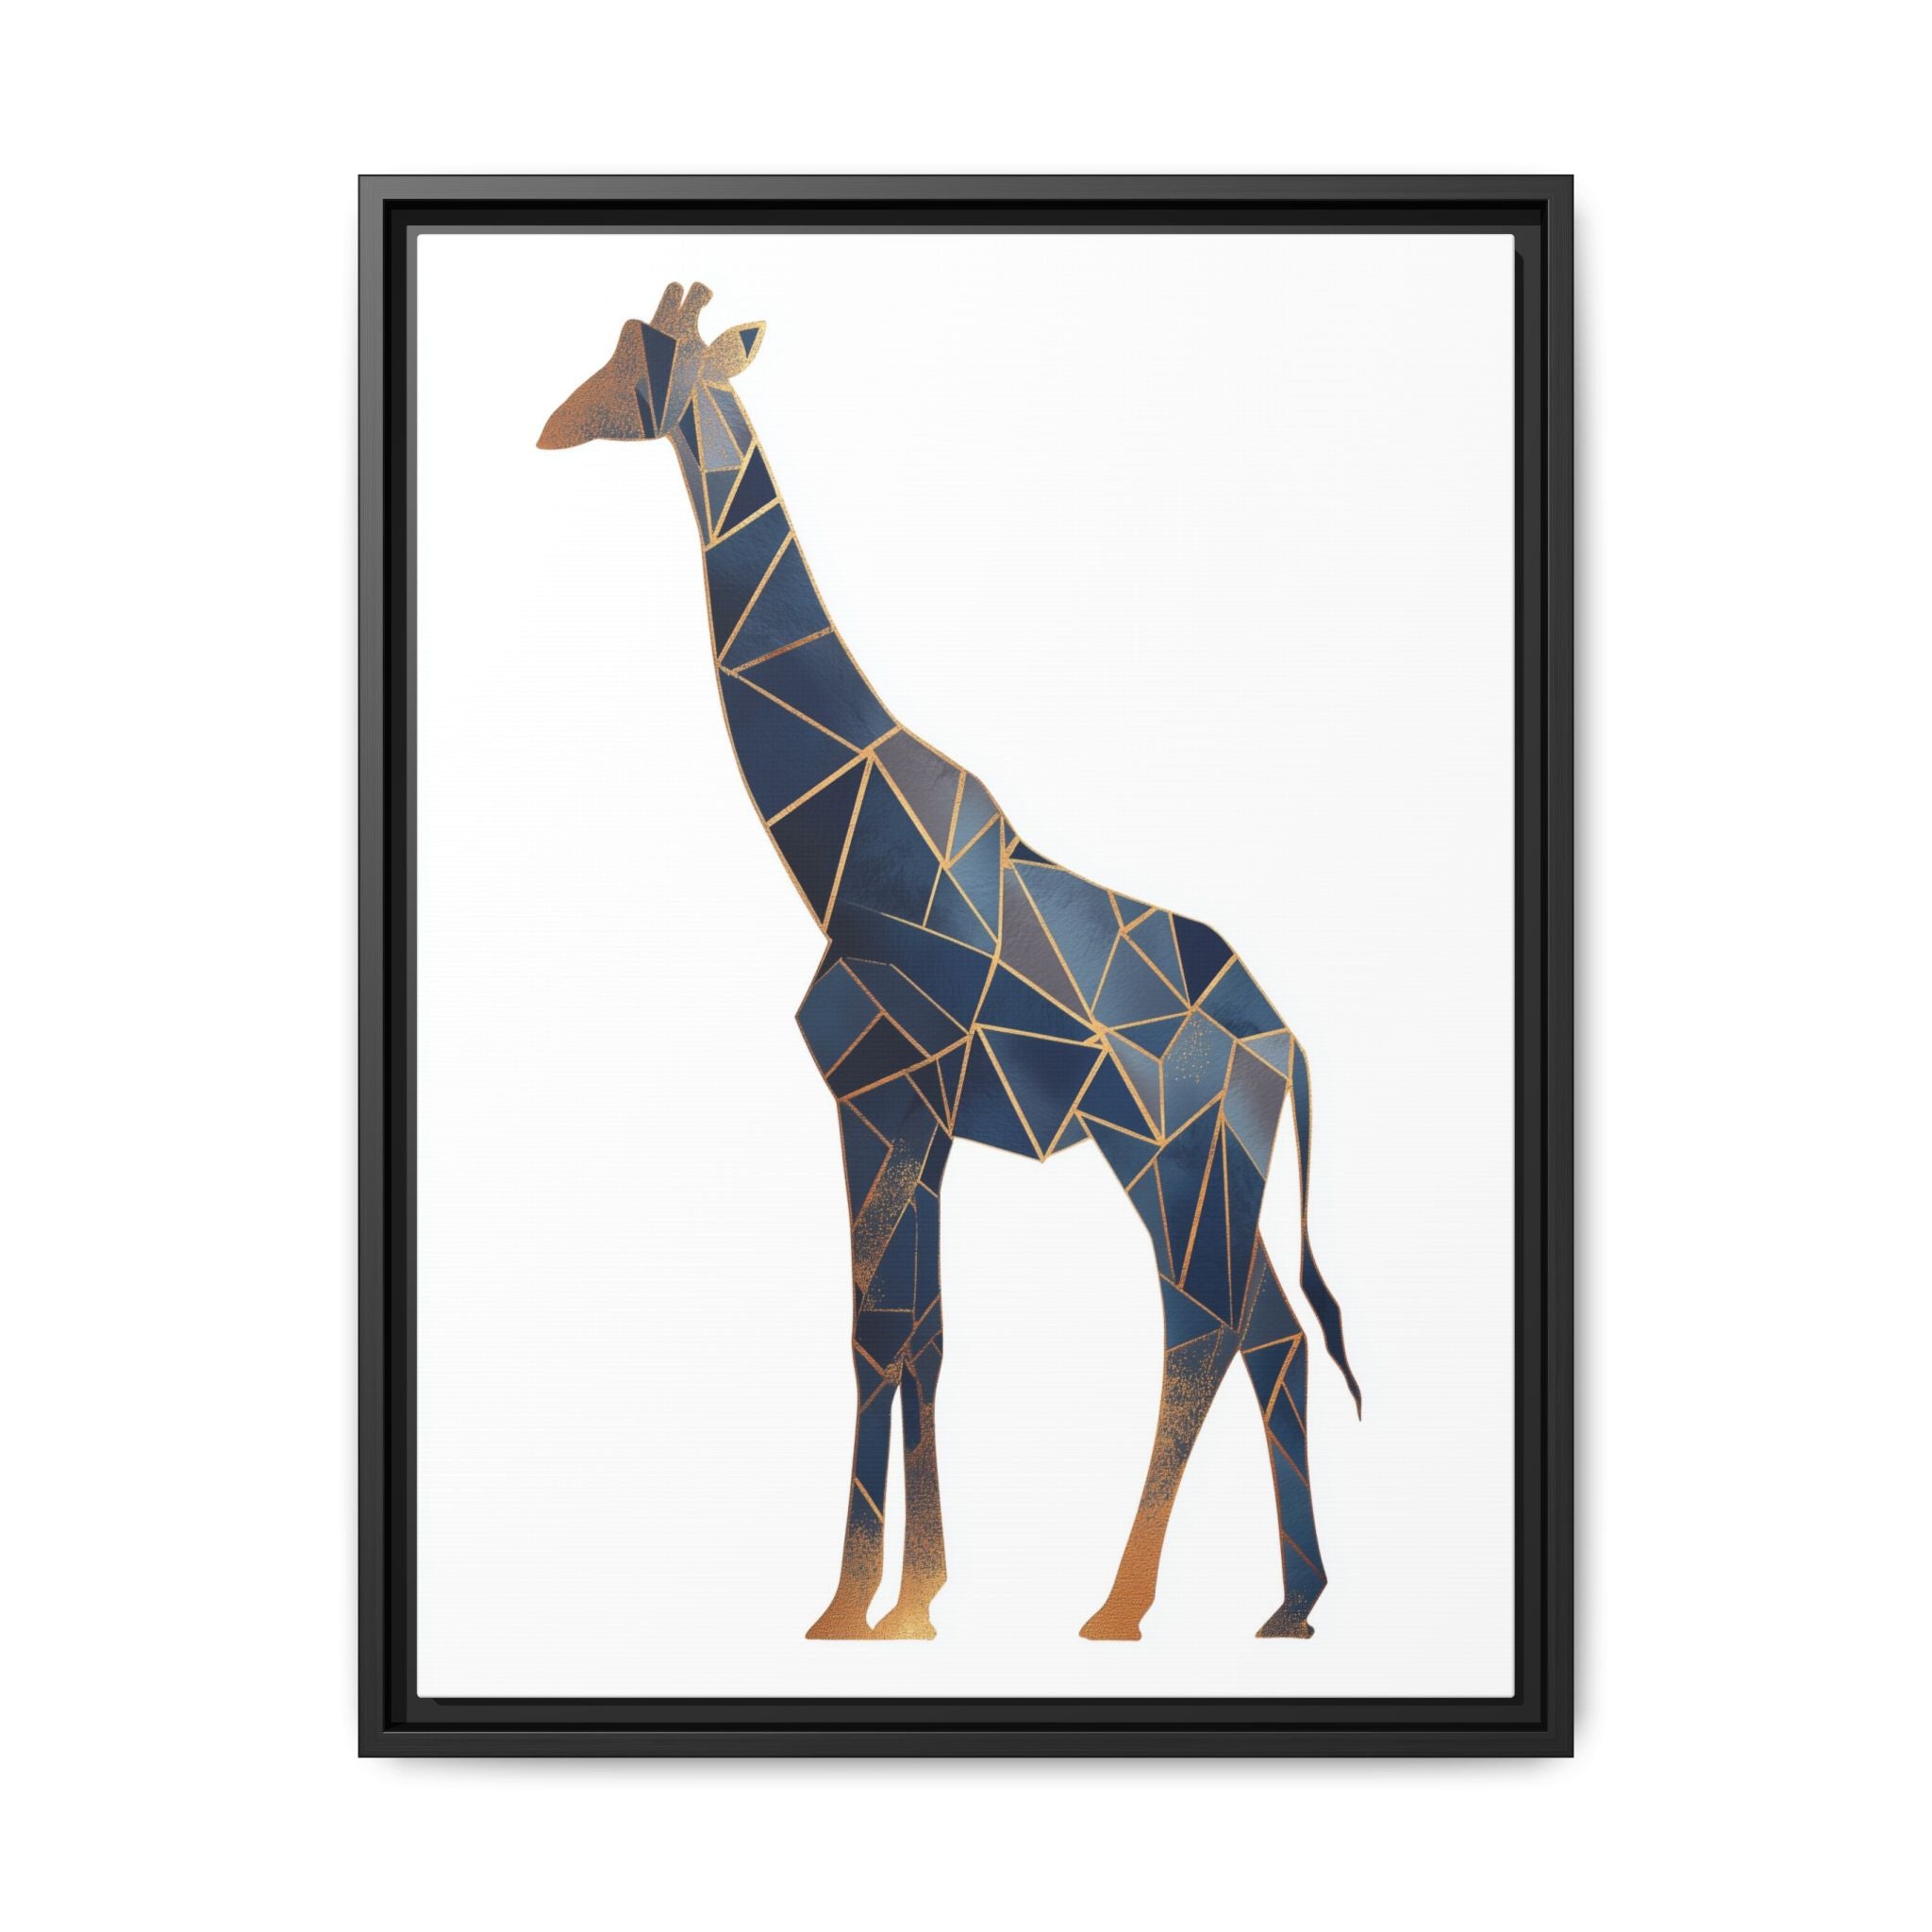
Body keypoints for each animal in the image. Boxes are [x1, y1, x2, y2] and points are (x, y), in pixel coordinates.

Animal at [538, 281, 1361, 1643]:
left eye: (646, 364)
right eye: (614, 349)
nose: (554, 424)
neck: (844, 851)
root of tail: (1284, 1041)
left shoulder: (880, 1097)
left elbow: (882, 1334)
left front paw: (866, 1606)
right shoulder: (909, 1117)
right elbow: (913, 1334)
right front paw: (896, 1601)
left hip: (1169, 1155)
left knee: (1201, 1328)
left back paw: (1121, 1607)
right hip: (1214, 1167)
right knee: (1273, 1334)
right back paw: (1290, 1604)